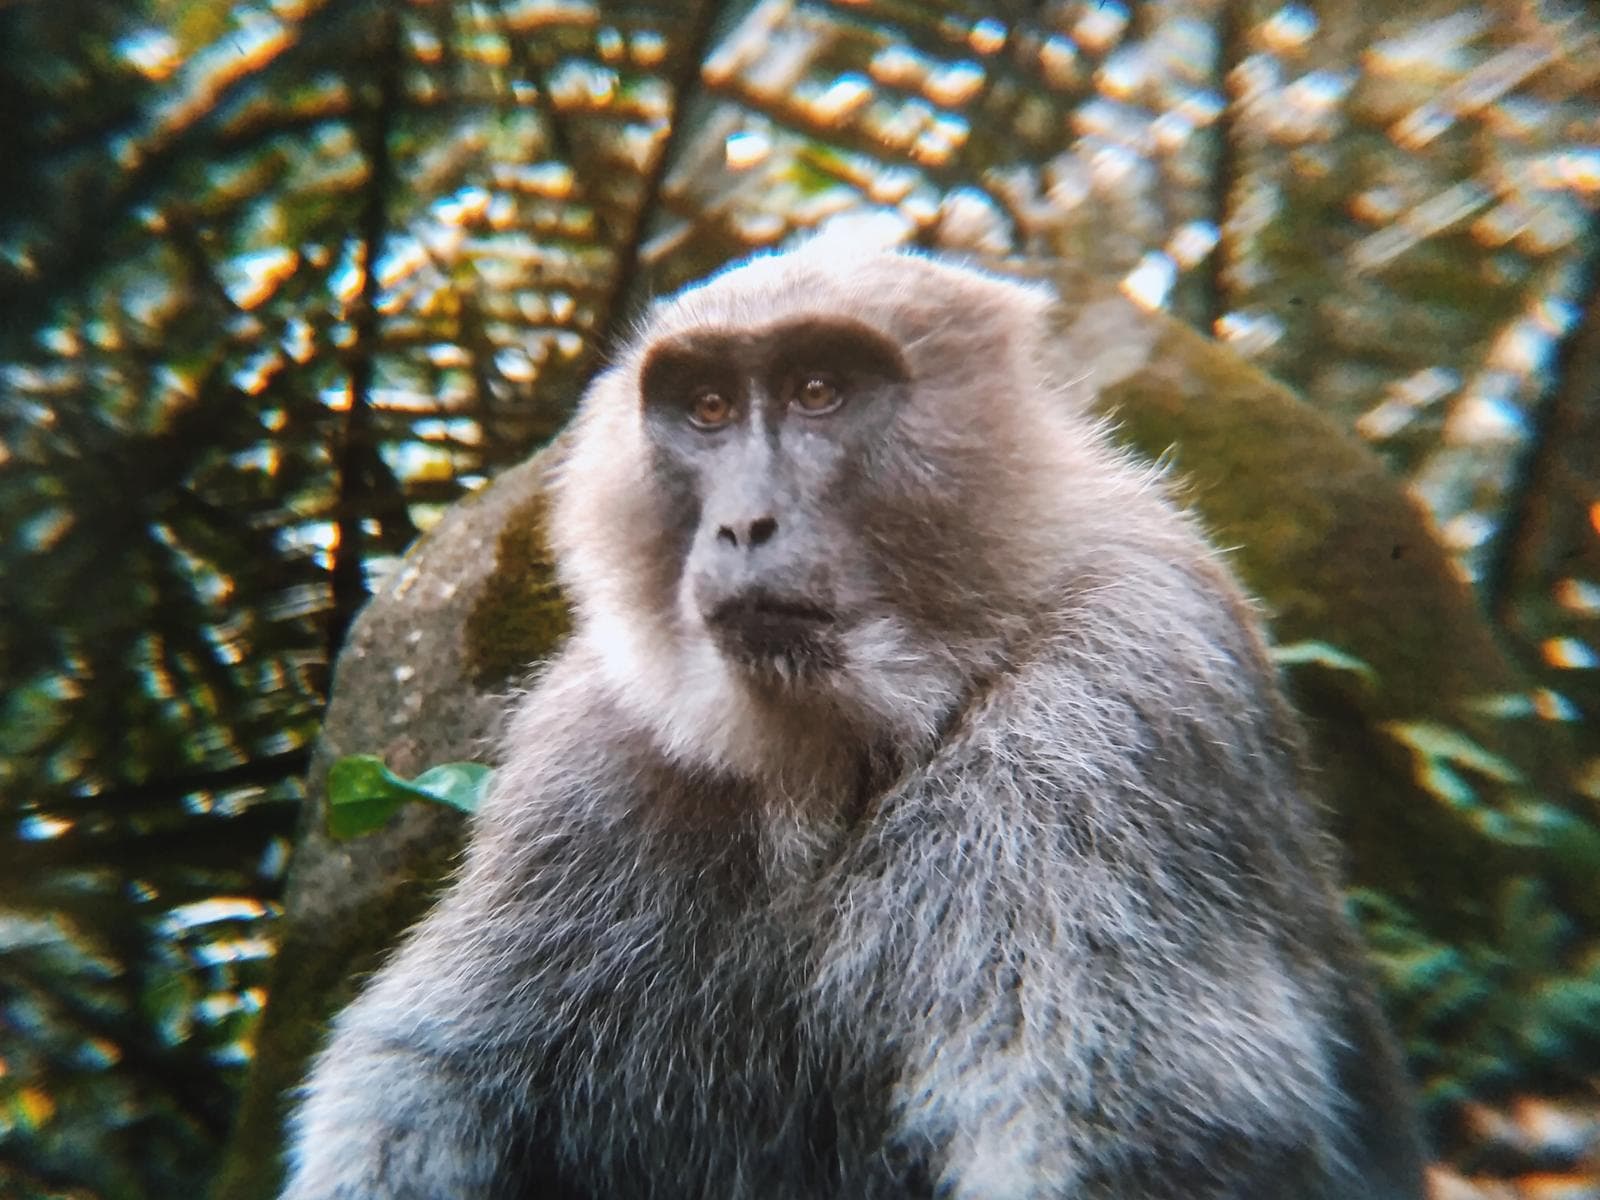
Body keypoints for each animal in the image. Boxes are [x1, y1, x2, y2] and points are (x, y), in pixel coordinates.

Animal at [279, 239, 1426, 1200]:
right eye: (707, 407)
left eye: (817, 392)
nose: (744, 524)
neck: (844, 756)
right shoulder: (590, 749)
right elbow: (430, 1071)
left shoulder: (1118, 698)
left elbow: (1151, 1133)